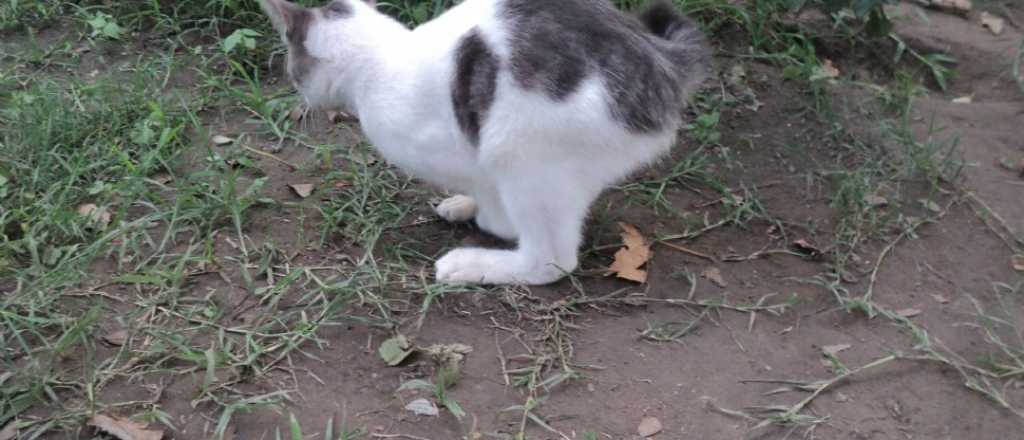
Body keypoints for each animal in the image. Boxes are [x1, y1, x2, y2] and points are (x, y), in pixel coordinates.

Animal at [260, 0, 708, 284]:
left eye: (292, 68)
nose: (299, 96)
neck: (380, 60)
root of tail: (659, 62)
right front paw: (465, 205)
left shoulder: (468, 149)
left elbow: (492, 203)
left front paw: (490, 222)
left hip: (520, 149)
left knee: (552, 262)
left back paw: (473, 265)